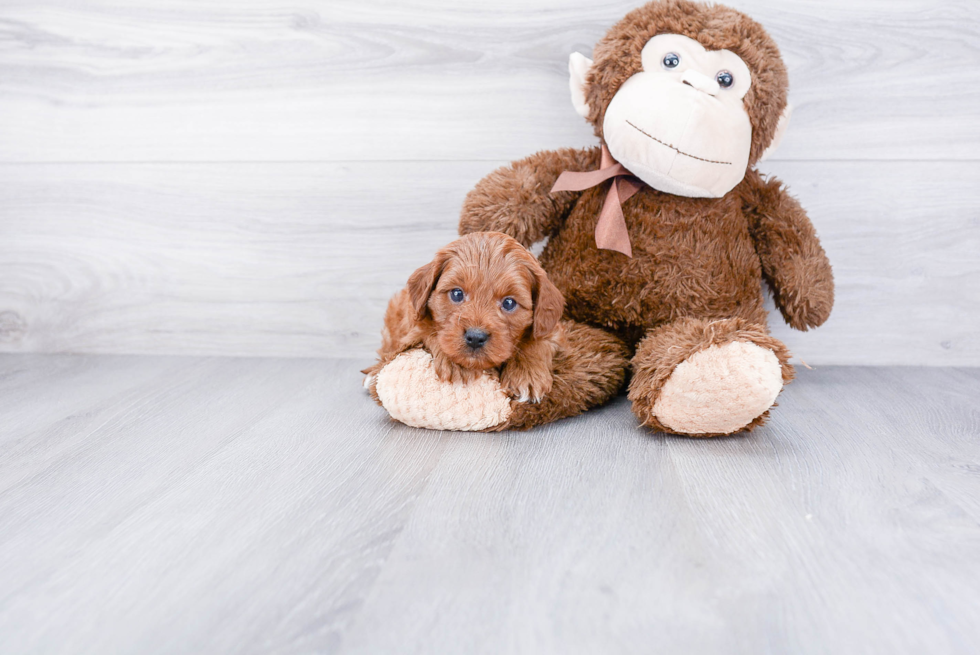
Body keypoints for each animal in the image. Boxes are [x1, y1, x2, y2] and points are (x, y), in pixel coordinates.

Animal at [366, 233, 568, 402]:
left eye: (509, 303)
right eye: (457, 294)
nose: (475, 337)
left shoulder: (553, 327)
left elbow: (536, 339)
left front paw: (527, 374)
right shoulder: (413, 325)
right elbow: (429, 329)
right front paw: (456, 363)